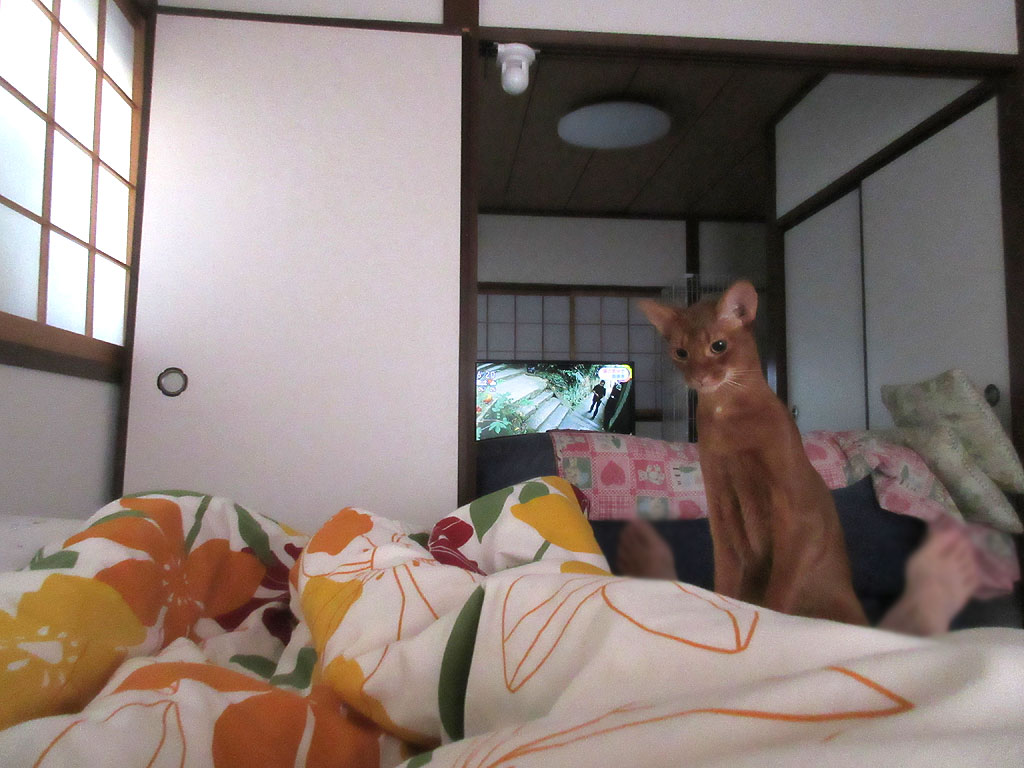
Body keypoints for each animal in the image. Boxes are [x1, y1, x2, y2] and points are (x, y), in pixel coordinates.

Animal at [638, 280, 867, 625]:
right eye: (681, 353)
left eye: (718, 346)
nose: (699, 378)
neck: (726, 415)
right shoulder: (721, 513)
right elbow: (725, 585)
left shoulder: (799, 520)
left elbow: (779, 596)